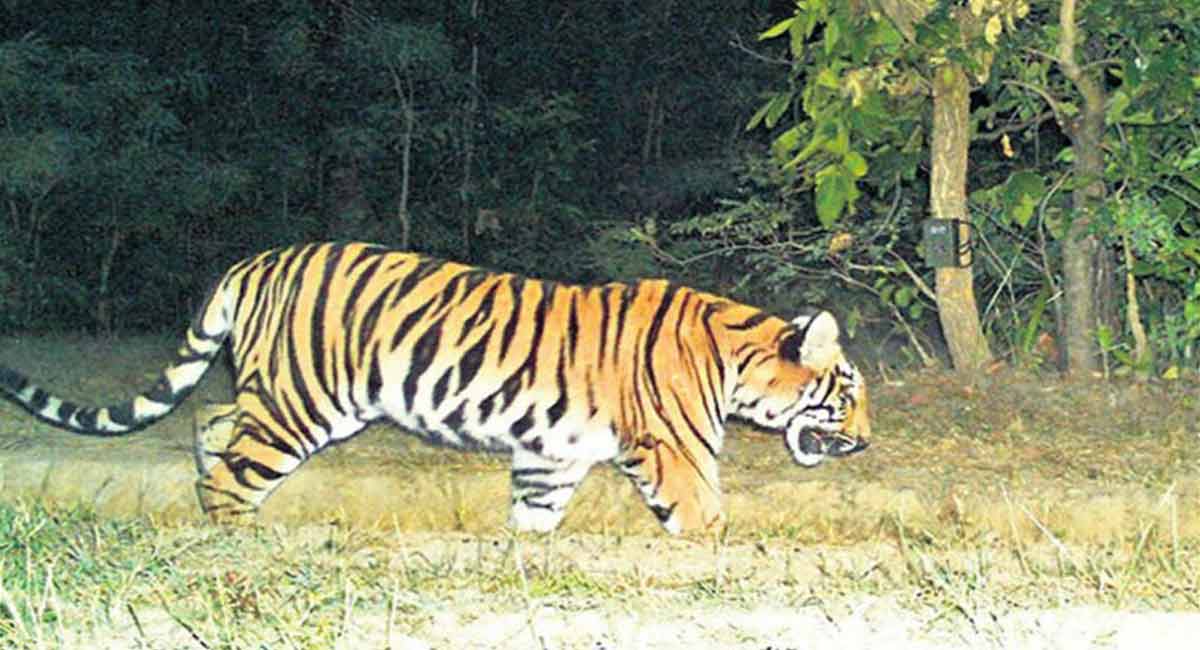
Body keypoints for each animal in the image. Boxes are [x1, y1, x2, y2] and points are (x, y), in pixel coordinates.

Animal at [0, 241, 870, 534]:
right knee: (234, 470)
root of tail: (254, 261)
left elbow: (534, 515)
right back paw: (237, 536)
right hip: (301, 404)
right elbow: (708, 518)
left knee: (211, 422)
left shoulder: (550, 452)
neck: (737, 358)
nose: (866, 440)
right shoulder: (675, 454)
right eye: (848, 392)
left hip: (274, 396)